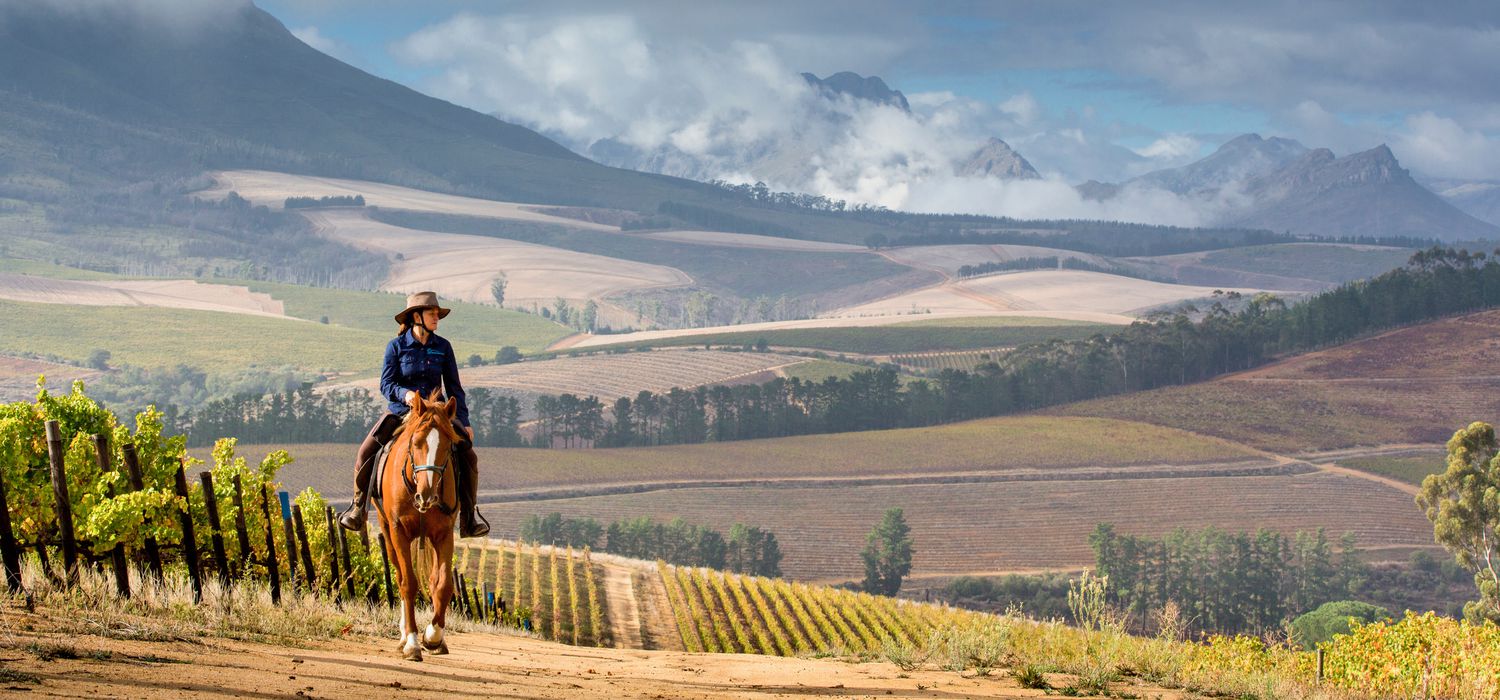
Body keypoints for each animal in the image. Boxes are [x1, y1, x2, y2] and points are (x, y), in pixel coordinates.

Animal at [378, 392, 459, 659]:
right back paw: (404, 636)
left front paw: (433, 637)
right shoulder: (398, 532)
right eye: (415, 442)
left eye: (448, 445)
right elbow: (408, 583)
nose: (427, 495)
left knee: (433, 580)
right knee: (400, 576)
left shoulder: (444, 534)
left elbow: (442, 585)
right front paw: (412, 642)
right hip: (387, 533)